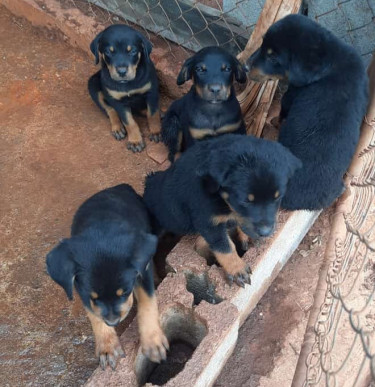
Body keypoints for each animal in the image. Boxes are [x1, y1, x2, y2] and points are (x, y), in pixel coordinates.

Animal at [46, 186, 169, 372]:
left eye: (124, 293)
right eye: (95, 297)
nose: (113, 322)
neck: (102, 231)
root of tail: (119, 186)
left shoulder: (142, 272)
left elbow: (148, 302)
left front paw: (152, 341)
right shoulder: (82, 289)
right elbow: (94, 314)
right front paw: (107, 347)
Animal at [88, 25, 162, 153]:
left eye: (132, 51)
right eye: (108, 52)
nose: (122, 72)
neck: (127, 84)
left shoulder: (151, 91)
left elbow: (153, 114)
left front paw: (156, 131)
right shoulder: (117, 101)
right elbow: (128, 121)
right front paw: (135, 141)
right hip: (93, 85)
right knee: (109, 109)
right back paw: (117, 128)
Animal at [142, 135, 302, 286]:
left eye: (277, 197)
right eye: (245, 201)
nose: (266, 232)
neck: (220, 197)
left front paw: (245, 237)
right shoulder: (208, 223)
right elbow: (225, 247)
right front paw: (237, 269)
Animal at [247, 14, 370, 212]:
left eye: (273, 58)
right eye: (263, 45)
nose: (244, 66)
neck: (331, 57)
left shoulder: (291, 94)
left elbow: (283, 112)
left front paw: (275, 121)